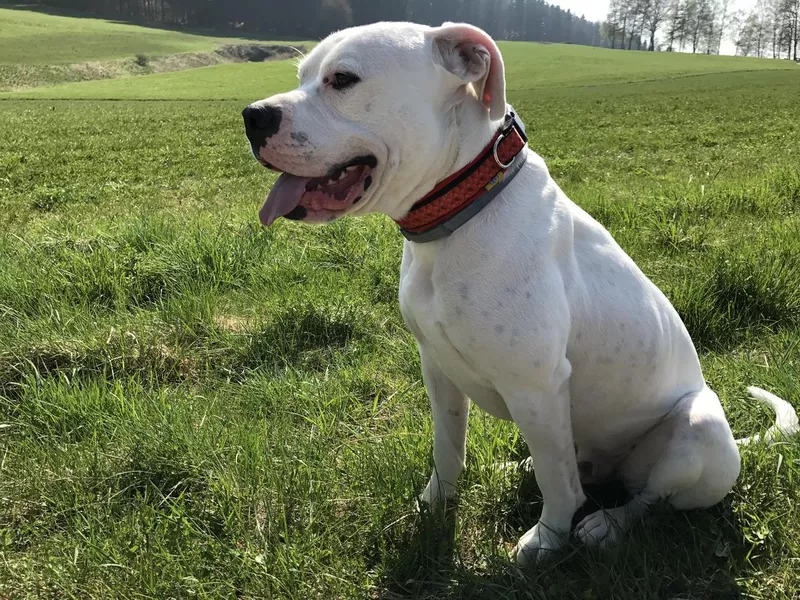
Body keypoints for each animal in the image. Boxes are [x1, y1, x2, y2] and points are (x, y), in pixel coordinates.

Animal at [241, 22, 796, 568]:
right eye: (301, 74)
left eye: (343, 79)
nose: (252, 115)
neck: (460, 211)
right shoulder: (437, 368)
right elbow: (448, 448)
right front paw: (434, 503)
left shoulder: (537, 386)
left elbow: (559, 487)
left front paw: (547, 539)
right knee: (571, 464)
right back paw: (518, 466)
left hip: (697, 430)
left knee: (644, 498)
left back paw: (606, 524)